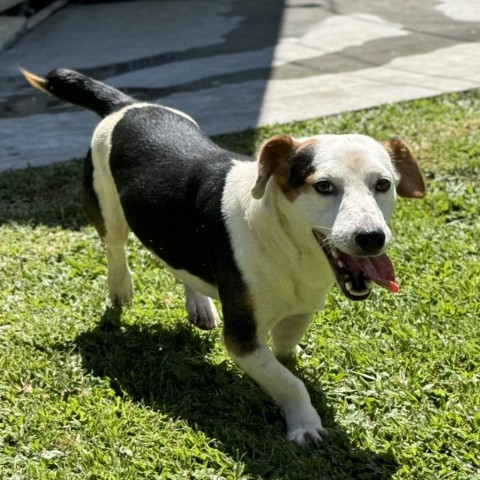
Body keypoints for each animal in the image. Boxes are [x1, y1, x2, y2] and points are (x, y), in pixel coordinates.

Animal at [24, 67, 426, 442]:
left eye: (383, 184)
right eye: (324, 186)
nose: (371, 238)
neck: (286, 243)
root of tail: (125, 105)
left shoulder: (302, 307)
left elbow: (285, 347)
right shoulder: (242, 338)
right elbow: (287, 381)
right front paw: (305, 424)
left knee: (181, 262)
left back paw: (199, 305)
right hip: (106, 205)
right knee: (115, 247)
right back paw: (121, 288)